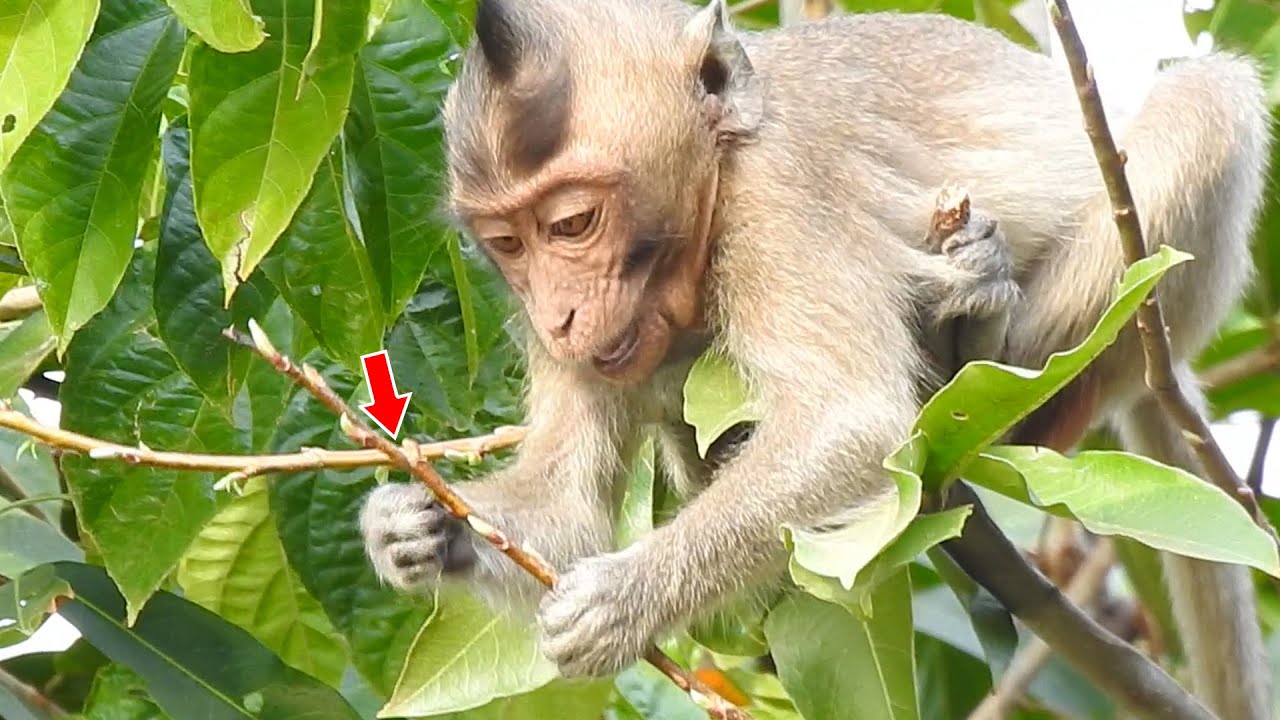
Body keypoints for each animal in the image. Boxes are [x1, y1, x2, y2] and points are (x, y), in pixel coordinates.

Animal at [359, 1, 1271, 715]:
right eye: (508, 243)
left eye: (573, 224)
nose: (560, 317)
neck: (718, 171)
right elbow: (567, 508)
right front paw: (416, 526)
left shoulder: (779, 195)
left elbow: (852, 421)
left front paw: (630, 599)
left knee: (1208, 98)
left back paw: (982, 328)